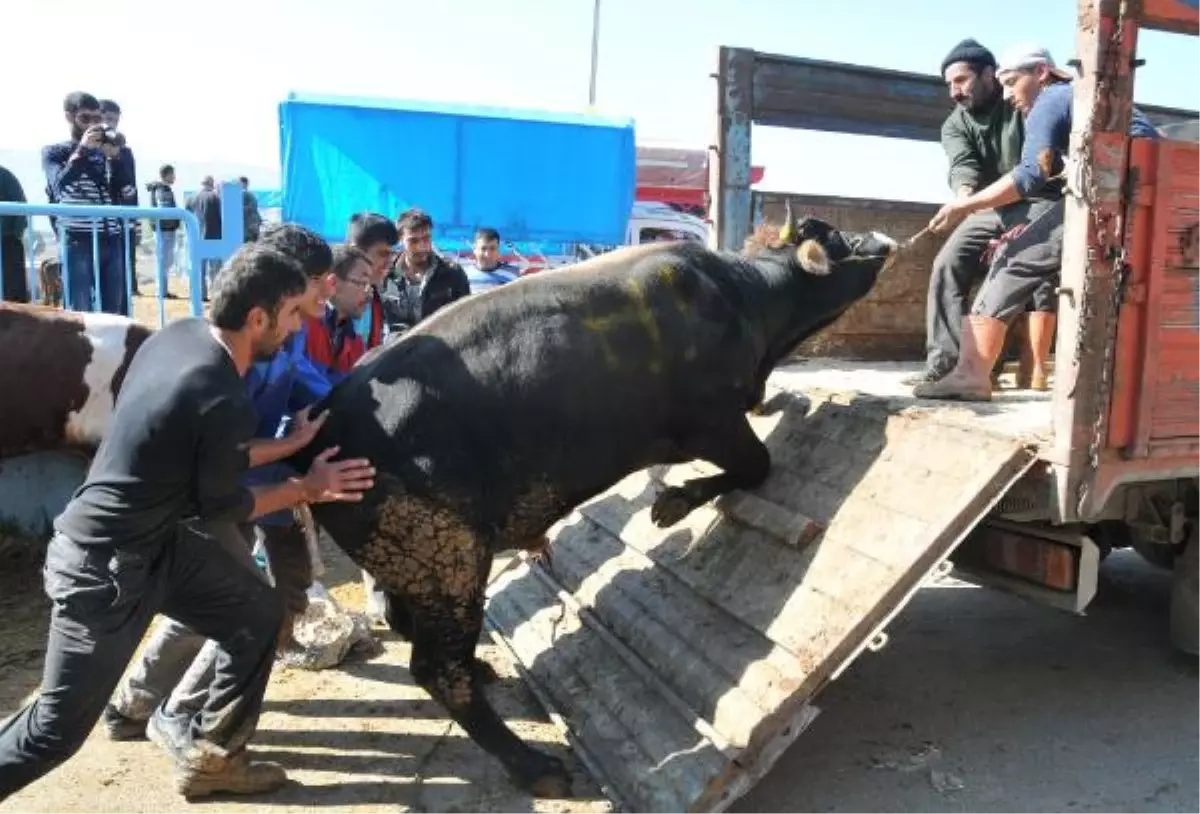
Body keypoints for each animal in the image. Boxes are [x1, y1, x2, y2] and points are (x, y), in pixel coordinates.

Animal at [288, 214, 902, 797]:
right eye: (834, 236)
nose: (882, 238)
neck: (740, 295)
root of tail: (330, 415)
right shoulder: (715, 423)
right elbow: (758, 465)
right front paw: (674, 502)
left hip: (409, 562)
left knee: (408, 625)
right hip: (447, 559)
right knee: (439, 670)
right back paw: (533, 766)